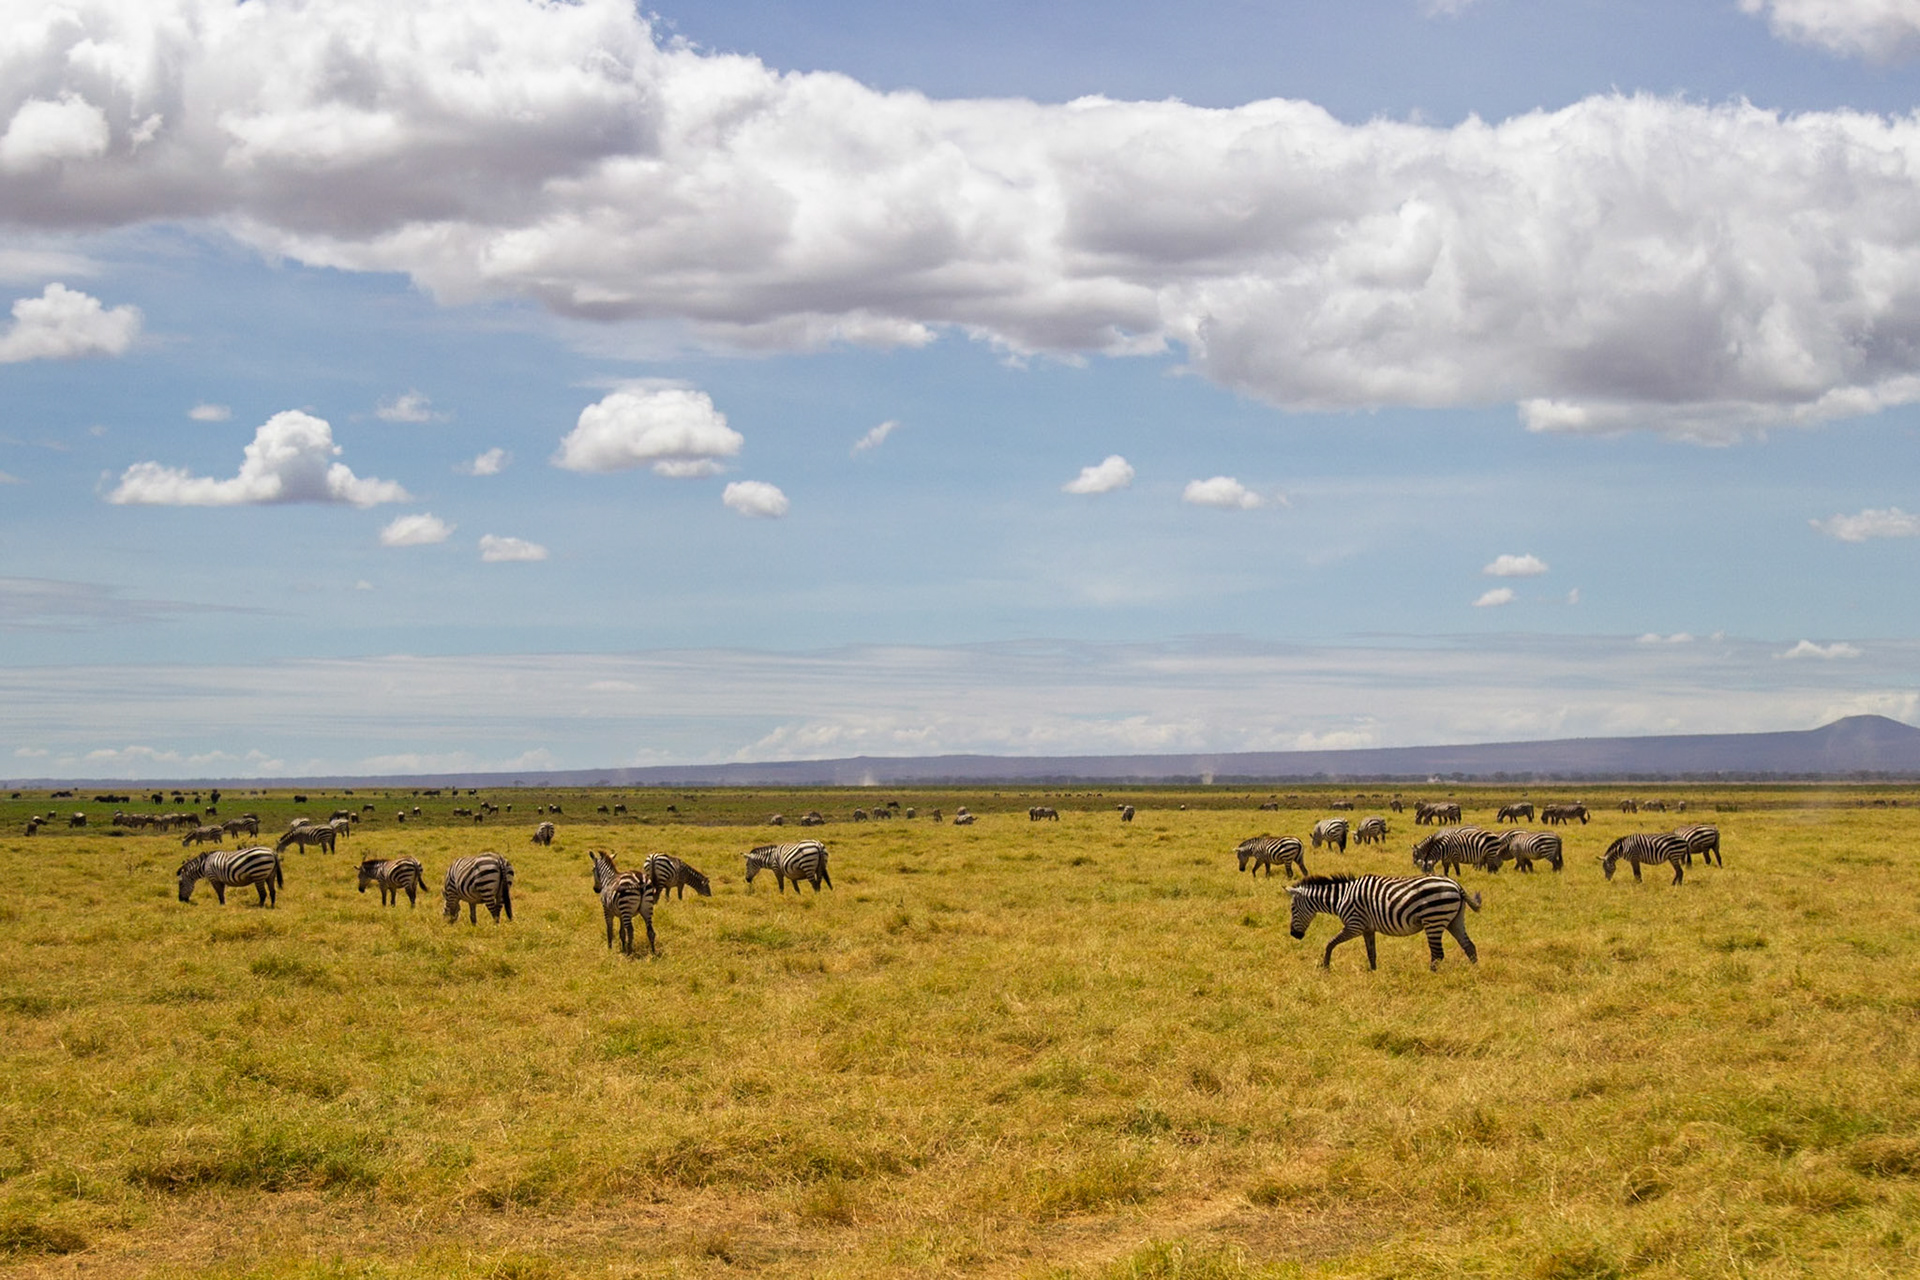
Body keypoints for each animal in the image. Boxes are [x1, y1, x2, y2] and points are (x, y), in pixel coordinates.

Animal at [1285, 873, 1482, 971]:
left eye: (1292, 909)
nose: (1294, 935)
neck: (1341, 898)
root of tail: (1456, 885)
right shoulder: (1367, 928)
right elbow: (1371, 952)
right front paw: (1374, 972)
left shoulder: (1354, 925)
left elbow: (1329, 943)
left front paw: (1325, 967)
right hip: (1454, 920)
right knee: (1469, 946)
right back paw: (1475, 972)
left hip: (1433, 919)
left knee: (1438, 954)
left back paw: (1430, 974)